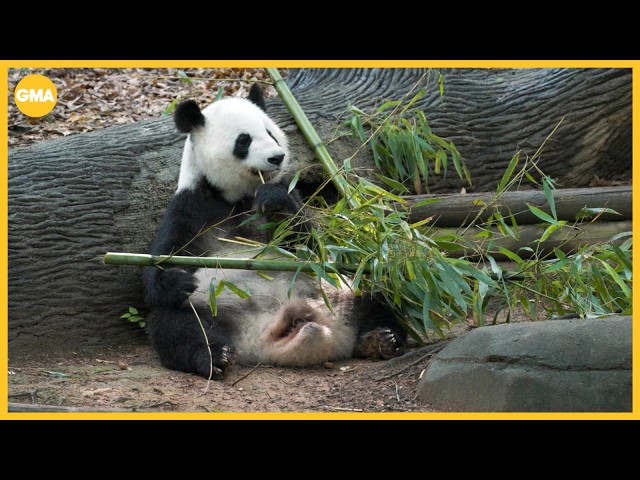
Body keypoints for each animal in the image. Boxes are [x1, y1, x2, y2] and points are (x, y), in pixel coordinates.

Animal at [142, 83, 407, 379]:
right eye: (244, 140)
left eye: (270, 132)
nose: (277, 157)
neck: (237, 196)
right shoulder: (191, 207)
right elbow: (163, 263)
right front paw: (178, 280)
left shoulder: (290, 191)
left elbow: (313, 247)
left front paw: (274, 201)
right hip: (211, 306)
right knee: (176, 325)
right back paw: (217, 356)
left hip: (346, 286)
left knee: (379, 290)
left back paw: (381, 339)